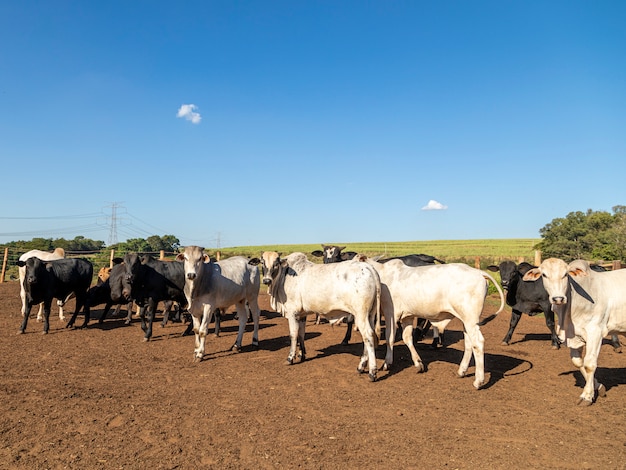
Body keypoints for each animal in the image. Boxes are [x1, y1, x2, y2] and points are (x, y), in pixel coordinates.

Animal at [252, 252, 380, 380]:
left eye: (276, 263)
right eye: (262, 262)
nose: (266, 280)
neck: (284, 276)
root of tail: (369, 268)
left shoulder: (292, 313)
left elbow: (293, 335)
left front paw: (290, 357)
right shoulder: (301, 314)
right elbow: (301, 334)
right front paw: (302, 354)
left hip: (361, 314)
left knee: (368, 336)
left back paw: (372, 371)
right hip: (370, 315)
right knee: (369, 336)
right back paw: (361, 366)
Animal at [358, 258, 504, 390]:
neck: (381, 274)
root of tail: (480, 273)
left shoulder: (391, 313)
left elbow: (390, 338)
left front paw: (387, 363)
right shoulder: (407, 317)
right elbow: (407, 338)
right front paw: (418, 363)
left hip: (471, 319)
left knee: (478, 343)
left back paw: (478, 381)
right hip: (466, 321)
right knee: (469, 343)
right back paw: (462, 371)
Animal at [520, 258, 624, 406]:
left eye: (565, 274)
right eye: (544, 275)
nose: (558, 299)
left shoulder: (595, 332)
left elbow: (589, 364)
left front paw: (587, 396)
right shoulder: (574, 336)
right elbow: (578, 362)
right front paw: (598, 387)